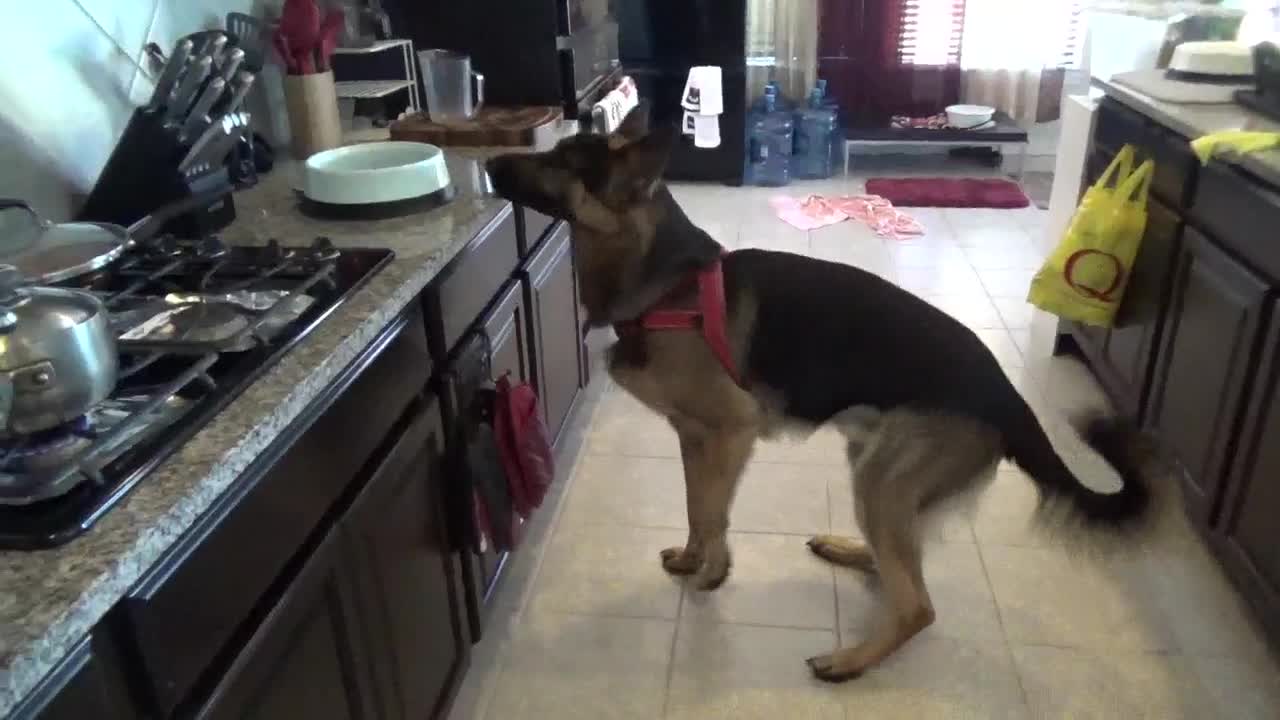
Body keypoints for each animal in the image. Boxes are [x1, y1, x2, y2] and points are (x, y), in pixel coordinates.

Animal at [481, 106, 1162, 676]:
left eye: (563, 162)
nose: (487, 165)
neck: (667, 280)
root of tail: (1005, 392)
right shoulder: (694, 438)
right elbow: (696, 506)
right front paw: (697, 559)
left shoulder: (731, 432)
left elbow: (714, 511)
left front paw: (714, 574)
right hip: (875, 466)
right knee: (897, 561)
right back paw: (850, 552)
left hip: (884, 478)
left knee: (917, 604)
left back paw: (851, 661)